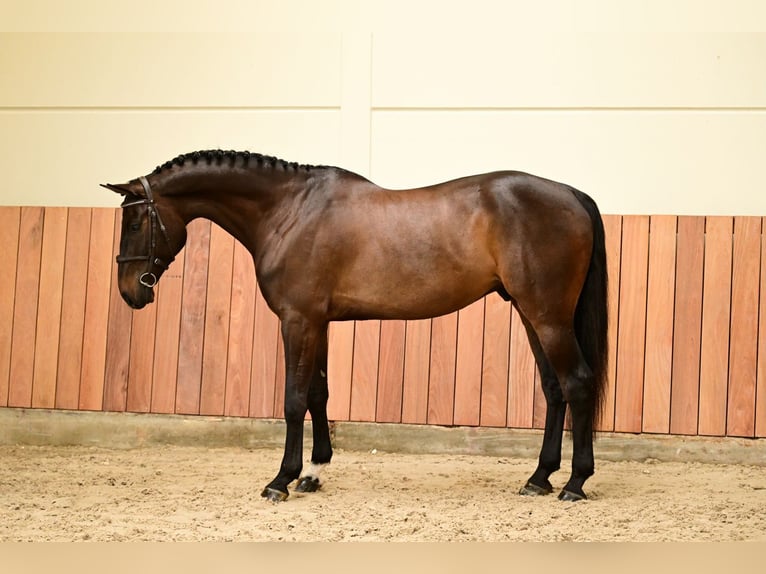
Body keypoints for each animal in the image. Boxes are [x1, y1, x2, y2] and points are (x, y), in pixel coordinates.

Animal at [102, 149, 608, 503]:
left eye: (135, 220)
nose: (131, 292)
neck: (289, 210)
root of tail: (571, 194)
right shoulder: (317, 322)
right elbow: (318, 394)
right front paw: (313, 473)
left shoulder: (297, 321)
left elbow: (292, 400)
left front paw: (281, 480)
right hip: (531, 313)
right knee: (555, 389)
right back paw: (539, 478)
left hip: (547, 316)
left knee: (577, 383)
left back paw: (575, 482)